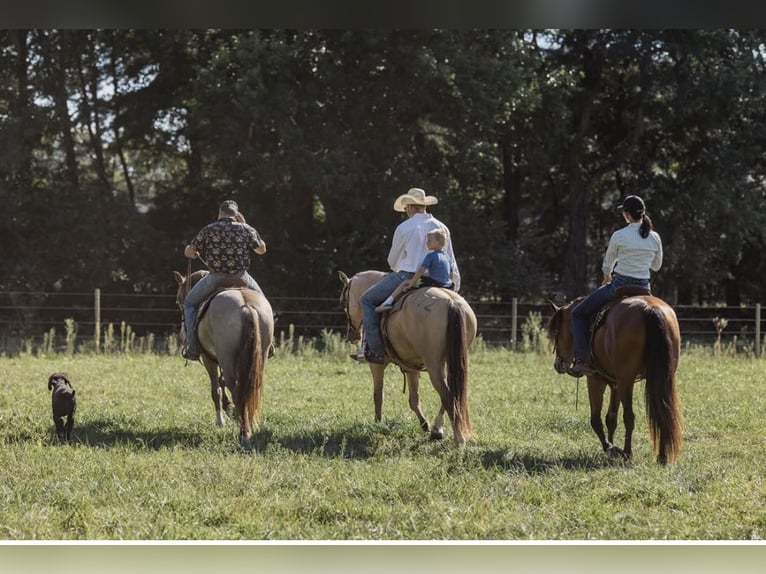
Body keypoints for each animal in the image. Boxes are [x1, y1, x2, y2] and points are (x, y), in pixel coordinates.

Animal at [173, 272, 272, 452]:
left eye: (179, 301)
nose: (182, 332)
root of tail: (245, 306)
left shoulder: (209, 359)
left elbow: (216, 389)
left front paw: (221, 420)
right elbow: (222, 382)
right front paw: (230, 410)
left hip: (226, 357)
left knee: (236, 388)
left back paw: (244, 433)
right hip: (260, 356)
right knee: (250, 387)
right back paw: (251, 423)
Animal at [340, 270, 476, 446]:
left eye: (344, 300)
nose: (353, 335)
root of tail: (451, 302)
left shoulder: (376, 365)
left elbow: (378, 395)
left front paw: (378, 424)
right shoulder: (411, 366)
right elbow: (414, 399)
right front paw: (424, 425)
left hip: (434, 365)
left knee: (446, 395)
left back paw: (458, 437)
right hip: (453, 362)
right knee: (452, 393)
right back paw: (437, 429)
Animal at [544, 290, 684, 466]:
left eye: (556, 332)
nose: (558, 364)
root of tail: (649, 308)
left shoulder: (595, 379)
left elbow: (596, 419)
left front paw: (610, 448)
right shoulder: (615, 384)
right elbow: (611, 418)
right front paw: (611, 446)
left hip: (627, 380)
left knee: (629, 417)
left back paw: (627, 453)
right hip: (662, 377)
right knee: (664, 412)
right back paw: (662, 456)